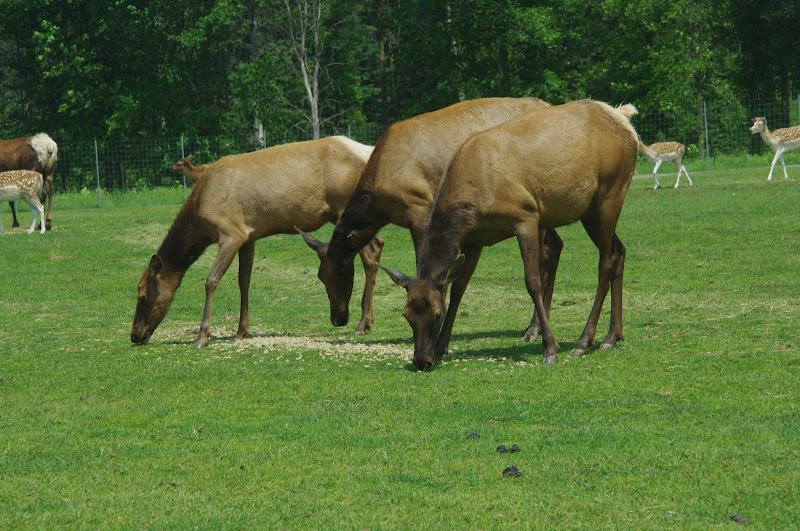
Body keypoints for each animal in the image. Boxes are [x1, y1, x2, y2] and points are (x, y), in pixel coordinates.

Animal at [131, 136, 384, 347]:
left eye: (142, 296)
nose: (135, 335)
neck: (199, 215)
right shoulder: (248, 237)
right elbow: (244, 280)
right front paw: (240, 331)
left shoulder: (231, 233)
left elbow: (211, 280)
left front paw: (202, 336)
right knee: (378, 244)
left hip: (345, 208)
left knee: (371, 253)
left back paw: (362, 324)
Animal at [298, 97, 563, 342]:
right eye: (321, 275)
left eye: (341, 271)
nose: (338, 317)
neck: (380, 200)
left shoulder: (419, 205)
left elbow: (424, 261)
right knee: (555, 245)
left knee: (543, 256)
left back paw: (532, 329)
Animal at [379, 100, 639, 371]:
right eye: (406, 314)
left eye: (437, 314)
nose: (421, 360)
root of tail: (625, 121)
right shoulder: (474, 238)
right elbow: (459, 286)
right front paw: (441, 348)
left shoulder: (526, 217)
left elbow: (532, 282)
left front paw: (550, 348)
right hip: (591, 211)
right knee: (619, 251)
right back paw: (612, 337)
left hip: (609, 194)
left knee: (605, 262)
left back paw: (584, 342)